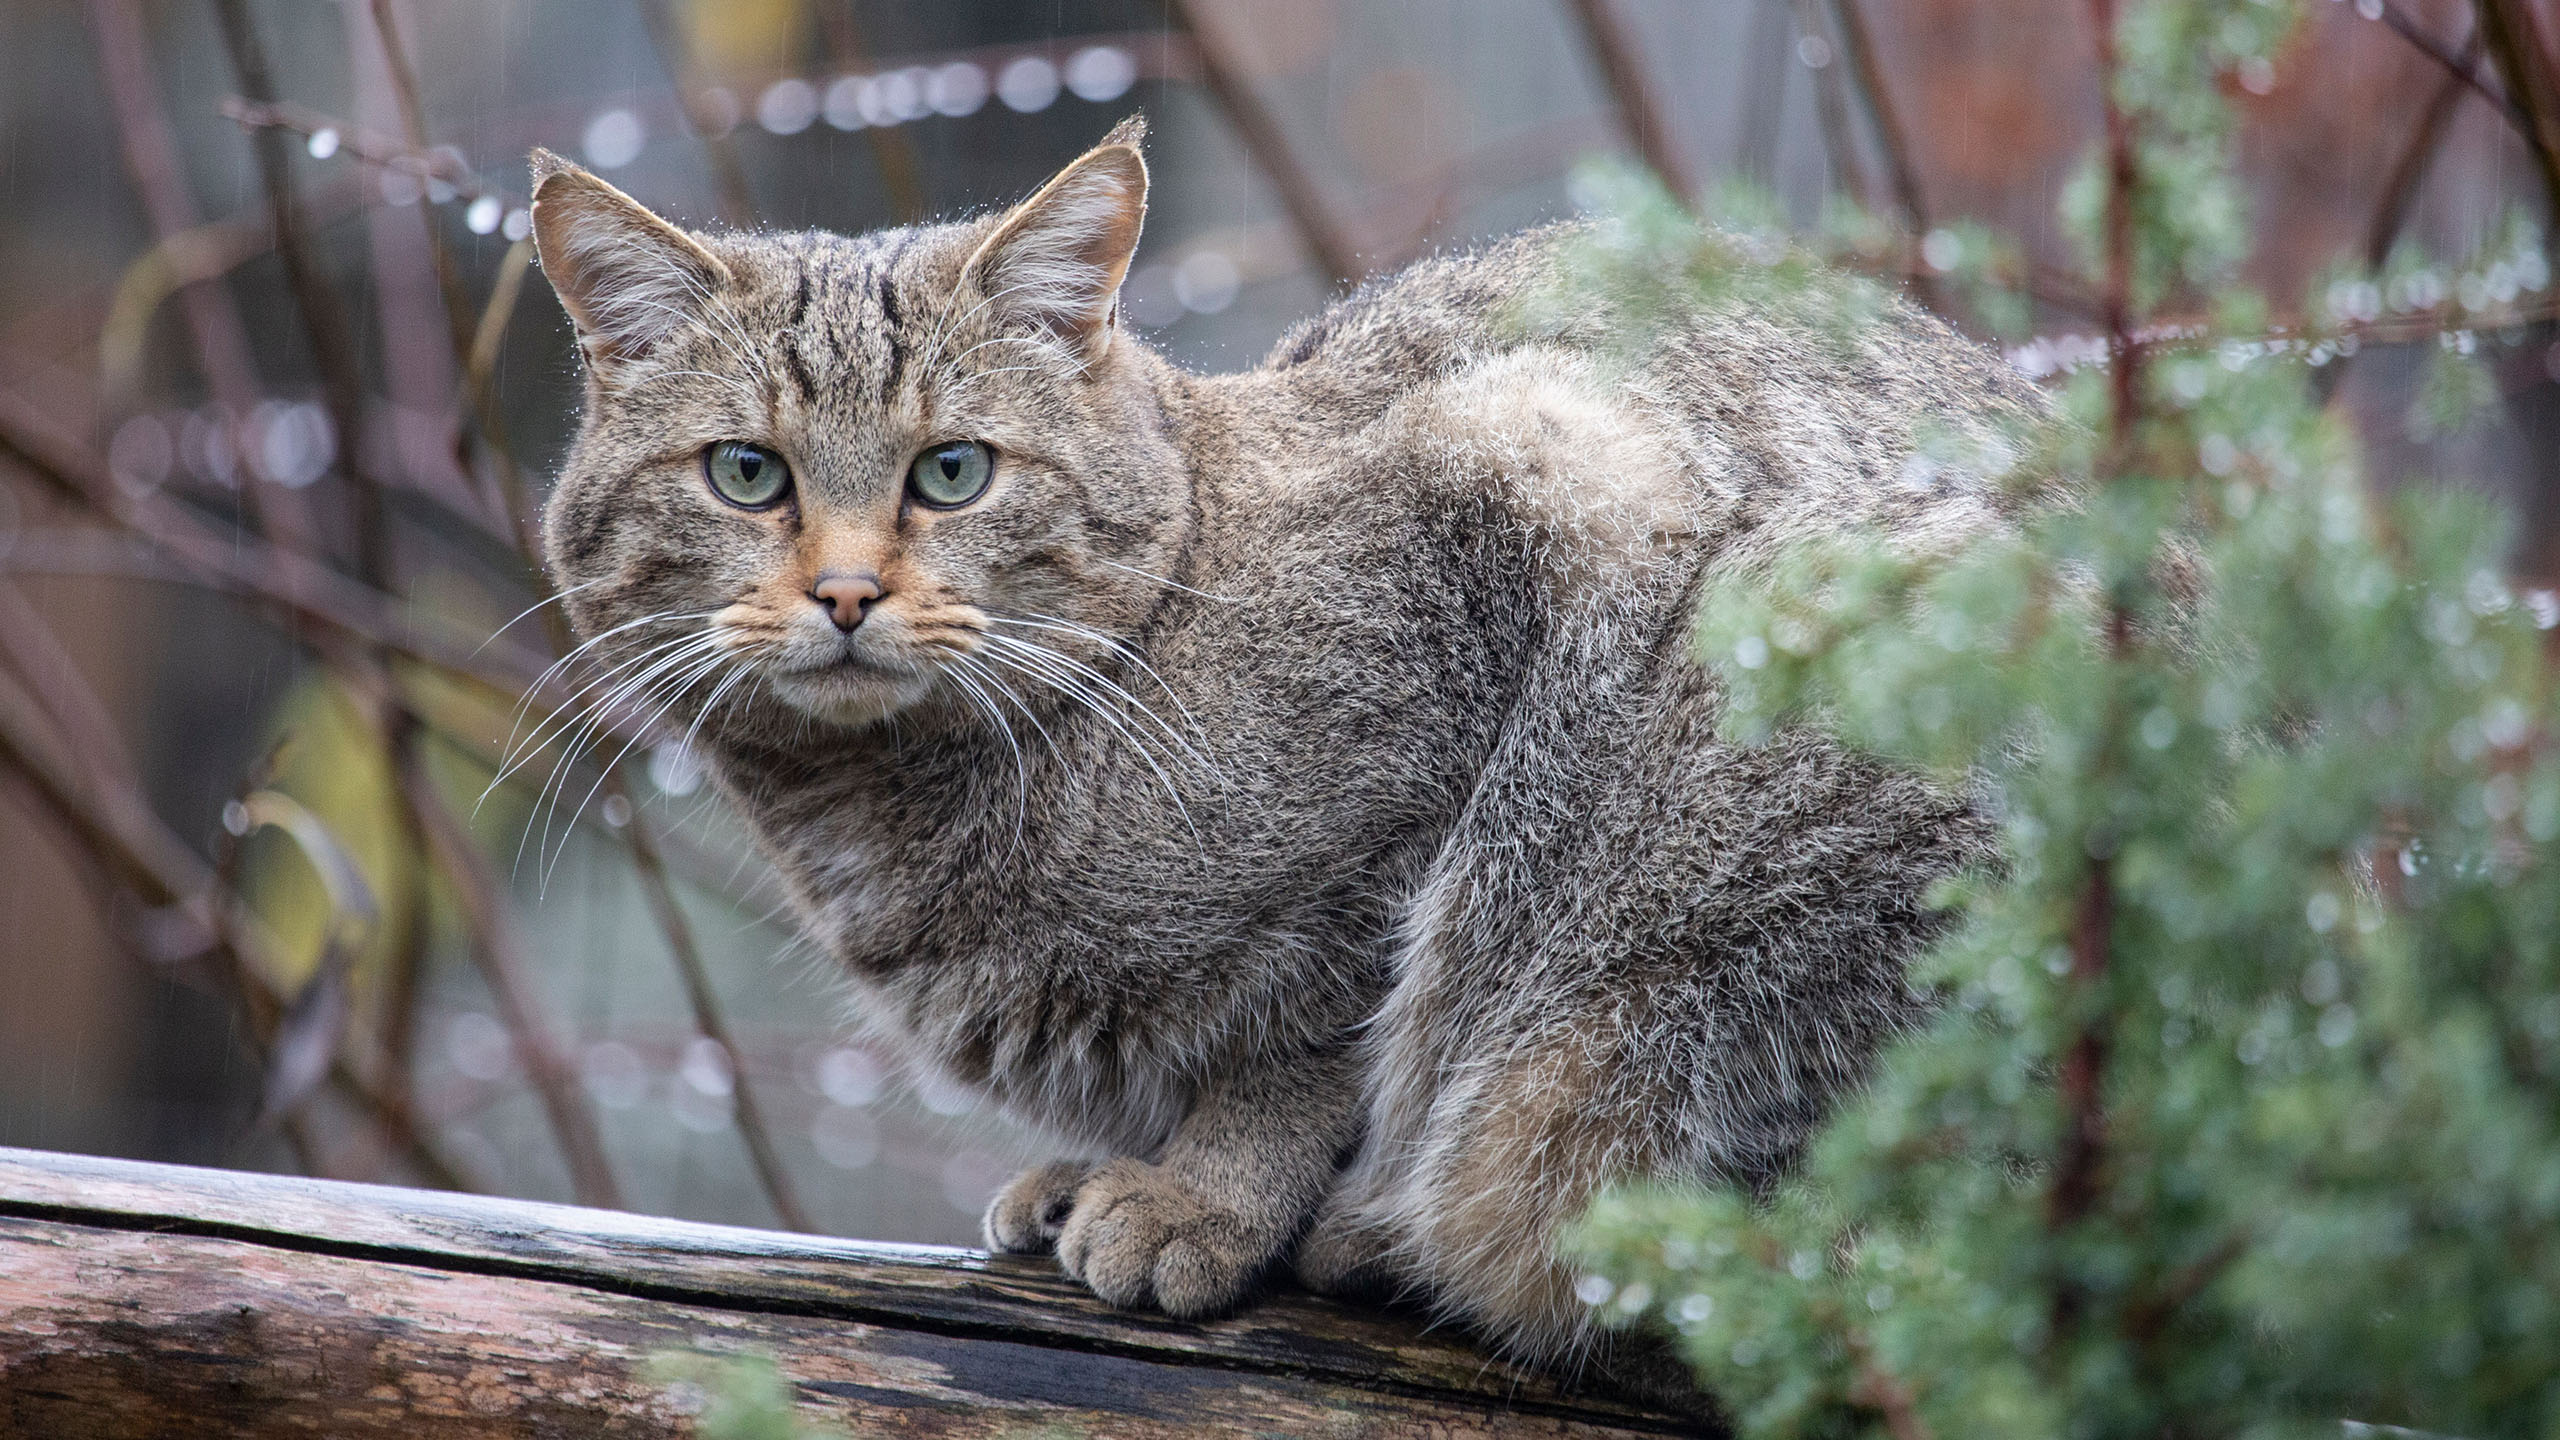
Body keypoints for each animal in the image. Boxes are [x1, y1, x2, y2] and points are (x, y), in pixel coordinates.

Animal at [519, 117, 2037, 1363]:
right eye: (746, 473)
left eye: (952, 472)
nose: (843, 593)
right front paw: (1098, 1170)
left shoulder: (1529, 519)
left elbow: (1316, 1035)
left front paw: (1206, 1193)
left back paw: (1387, 1235)